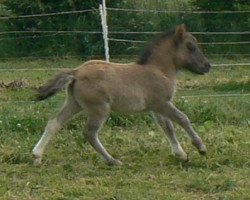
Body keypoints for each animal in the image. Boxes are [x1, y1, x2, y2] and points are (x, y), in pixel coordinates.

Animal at [31, 24, 211, 166]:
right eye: (191, 46)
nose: (208, 66)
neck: (159, 70)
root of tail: (76, 72)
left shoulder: (156, 108)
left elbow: (168, 127)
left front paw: (181, 155)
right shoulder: (161, 103)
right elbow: (182, 118)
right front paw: (200, 147)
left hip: (74, 104)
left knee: (54, 122)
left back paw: (37, 156)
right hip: (99, 109)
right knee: (89, 133)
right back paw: (112, 161)